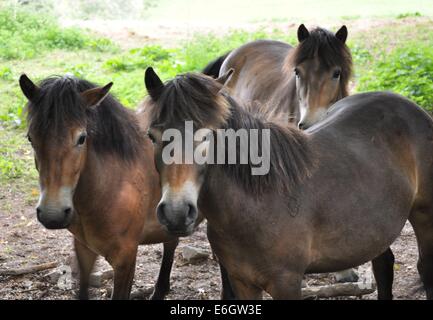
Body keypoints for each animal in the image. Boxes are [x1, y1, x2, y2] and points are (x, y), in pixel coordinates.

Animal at [143, 68, 432, 300]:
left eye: (208, 135)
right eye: (152, 136)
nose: (176, 213)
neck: (257, 203)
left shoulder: (287, 283)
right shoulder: (242, 281)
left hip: (423, 215)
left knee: (425, 268)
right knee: (383, 266)